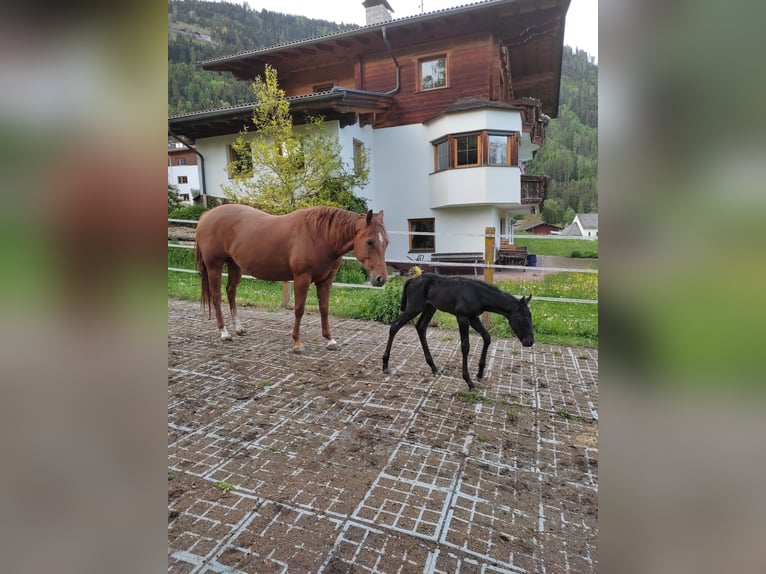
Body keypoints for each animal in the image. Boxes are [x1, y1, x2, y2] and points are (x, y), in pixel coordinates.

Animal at [194, 204, 389, 351]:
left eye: (386, 242)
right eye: (369, 241)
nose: (381, 279)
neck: (320, 236)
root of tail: (206, 216)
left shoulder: (325, 281)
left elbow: (324, 309)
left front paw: (330, 340)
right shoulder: (302, 278)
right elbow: (299, 309)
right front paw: (297, 342)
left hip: (234, 265)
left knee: (231, 292)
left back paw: (239, 328)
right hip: (214, 266)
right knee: (217, 296)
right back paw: (224, 333)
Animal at [381, 273, 534, 389]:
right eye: (523, 319)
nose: (530, 341)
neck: (477, 294)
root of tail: (411, 280)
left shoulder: (473, 318)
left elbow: (487, 337)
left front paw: (479, 373)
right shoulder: (463, 318)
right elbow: (465, 346)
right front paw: (469, 381)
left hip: (430, 307)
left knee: (421, 327)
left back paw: (434, 367)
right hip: (414, 307)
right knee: (394, 326)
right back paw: (385, 365)